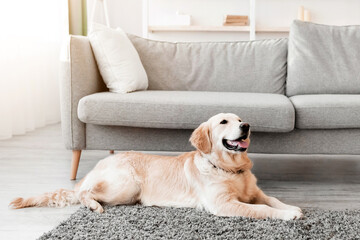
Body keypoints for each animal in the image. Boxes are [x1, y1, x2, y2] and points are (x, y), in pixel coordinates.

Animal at [9, 113, 302, 220]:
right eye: (224, 122)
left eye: (240, 119)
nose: (247, 126)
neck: (230, 169)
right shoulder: (223, 204)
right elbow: (261, 209)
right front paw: (287, 216)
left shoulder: (255, 192)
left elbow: (272, 199)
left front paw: (292, 207)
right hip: (126, 186)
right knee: (83, 193)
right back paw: (93, 205)